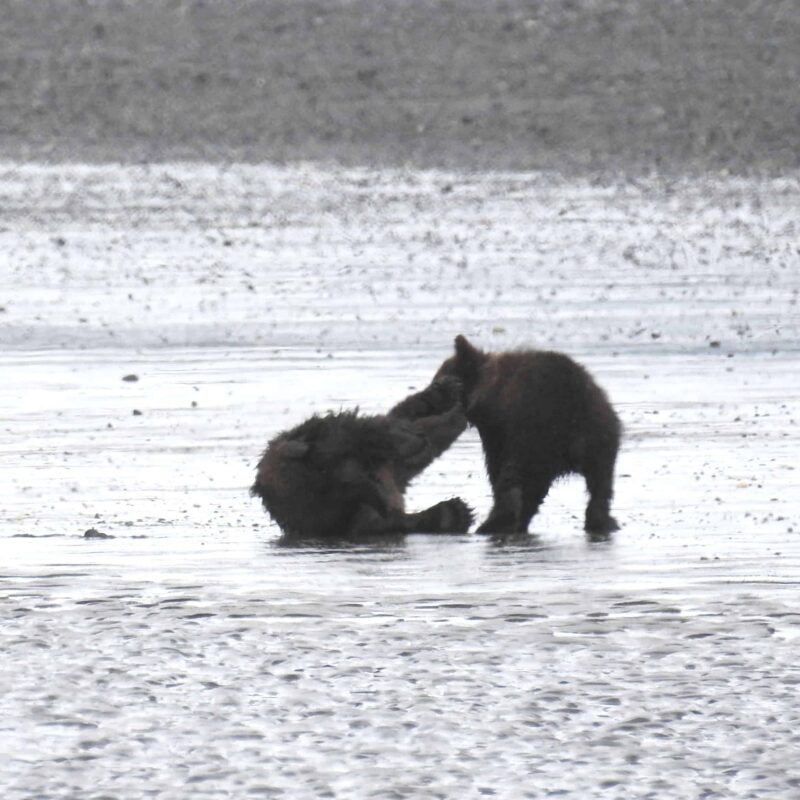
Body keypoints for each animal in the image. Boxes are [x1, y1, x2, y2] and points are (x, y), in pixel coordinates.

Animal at [434, 335, 621, 537]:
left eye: (438, 381)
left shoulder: (499, 429)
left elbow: (497, 467)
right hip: (600, 435)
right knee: (600, 485)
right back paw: (602, 521)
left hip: (536, 434)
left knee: (514, 478)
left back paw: (494, 523)